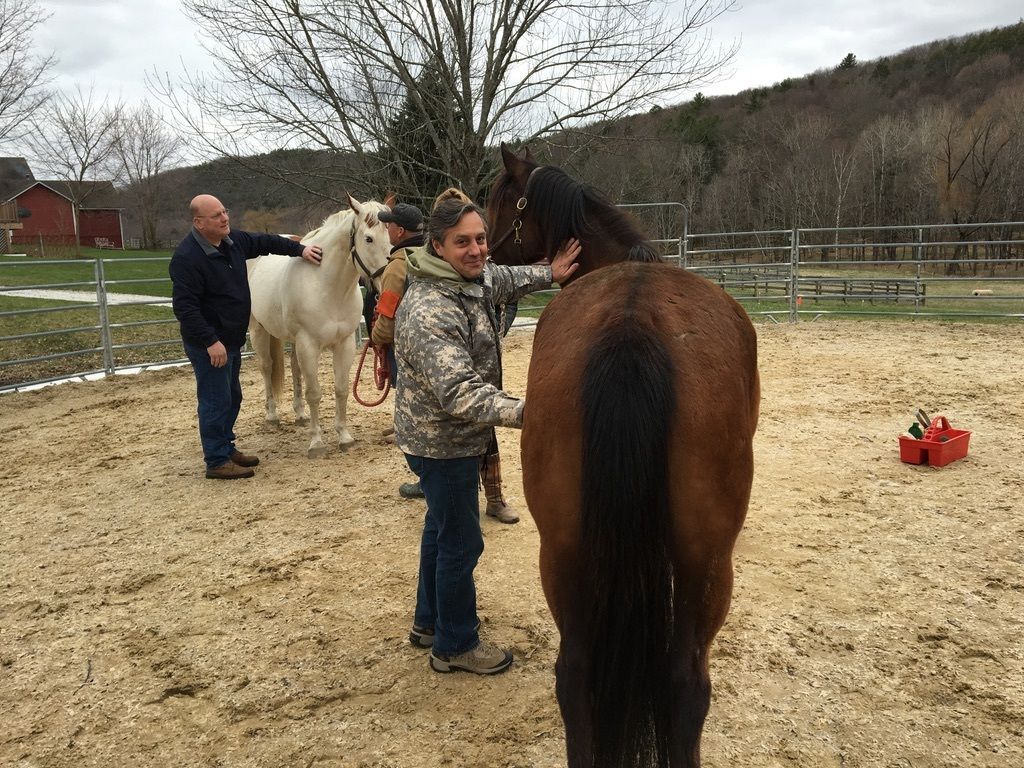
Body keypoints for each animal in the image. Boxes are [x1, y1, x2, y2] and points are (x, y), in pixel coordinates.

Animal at [246, 196, 391, 456]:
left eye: (390, 233)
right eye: (368, 238)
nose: (384, 281)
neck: (327, 285)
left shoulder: (343, 344)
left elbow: (341, 389)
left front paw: (344, 437)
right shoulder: (309, 344)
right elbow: (314, 393)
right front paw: (316, 443)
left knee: (294, 368)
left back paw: (300, 414)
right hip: (259, 330)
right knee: (267, 367)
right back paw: (272, 416)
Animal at [487, 145, 761, 768]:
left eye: (495, 201)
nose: (483, 253)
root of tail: (632, 325)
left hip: (563, 551)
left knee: (574, 675)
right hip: (709, 563)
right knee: (686, 682)